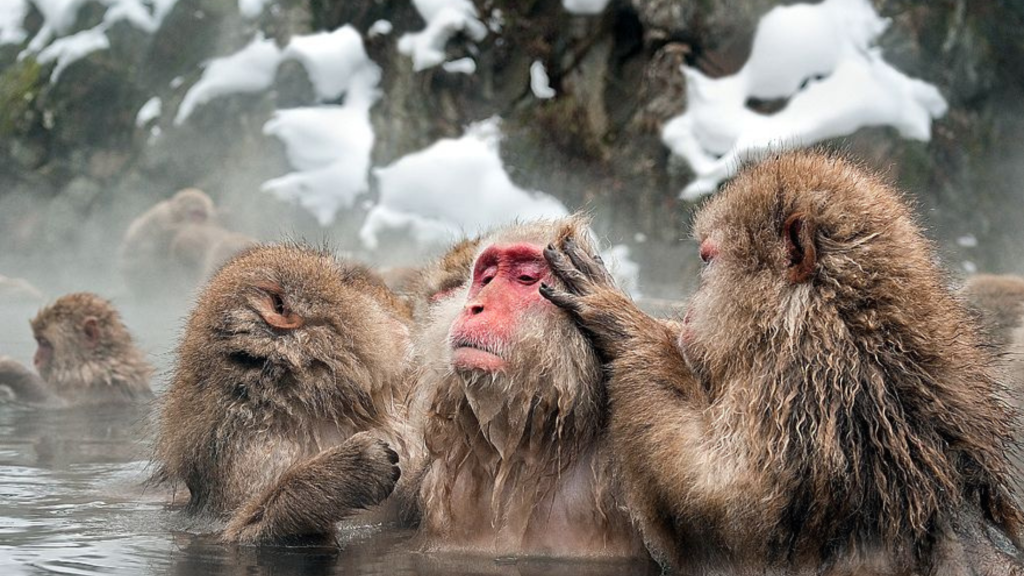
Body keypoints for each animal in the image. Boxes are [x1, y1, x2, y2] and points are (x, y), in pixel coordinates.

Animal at [0, 292, 153, 406]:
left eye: (44, 342)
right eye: (39, 341)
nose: (35, 360)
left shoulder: (101, 391)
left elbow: (59, 404)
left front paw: (11, 368)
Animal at [153, 244, 412, 544]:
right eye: (348, 281)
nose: (400, 304)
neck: (297, 407)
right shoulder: (249, 456)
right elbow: (242, 535)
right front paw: (349, 470)